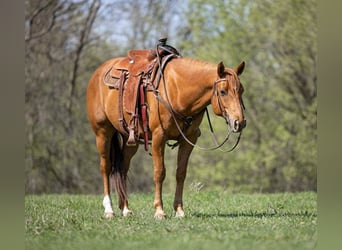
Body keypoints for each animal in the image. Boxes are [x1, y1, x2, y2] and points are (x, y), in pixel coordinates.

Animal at [85, 47, 246, 219]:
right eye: (222, 91)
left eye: (241, 90)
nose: (240, 122)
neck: (177, 90)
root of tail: (98, 72)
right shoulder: (158, 137)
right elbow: (159, 173)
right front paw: (159, 211)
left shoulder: (189, 139)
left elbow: (181, 173)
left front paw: (179, 210)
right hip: (102, 133)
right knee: (106, 167)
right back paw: (109, 209)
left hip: (130, 139)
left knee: (122, 169)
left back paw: (126, 209)